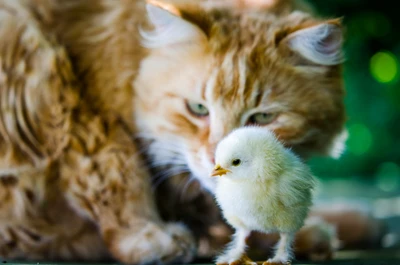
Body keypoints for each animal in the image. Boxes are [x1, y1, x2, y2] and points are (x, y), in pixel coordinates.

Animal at [0, 0, 382, 262]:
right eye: (198, 109)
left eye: (262, 117)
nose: (220, 160)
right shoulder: (72, 100)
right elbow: (117, 171)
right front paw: (148, 238)